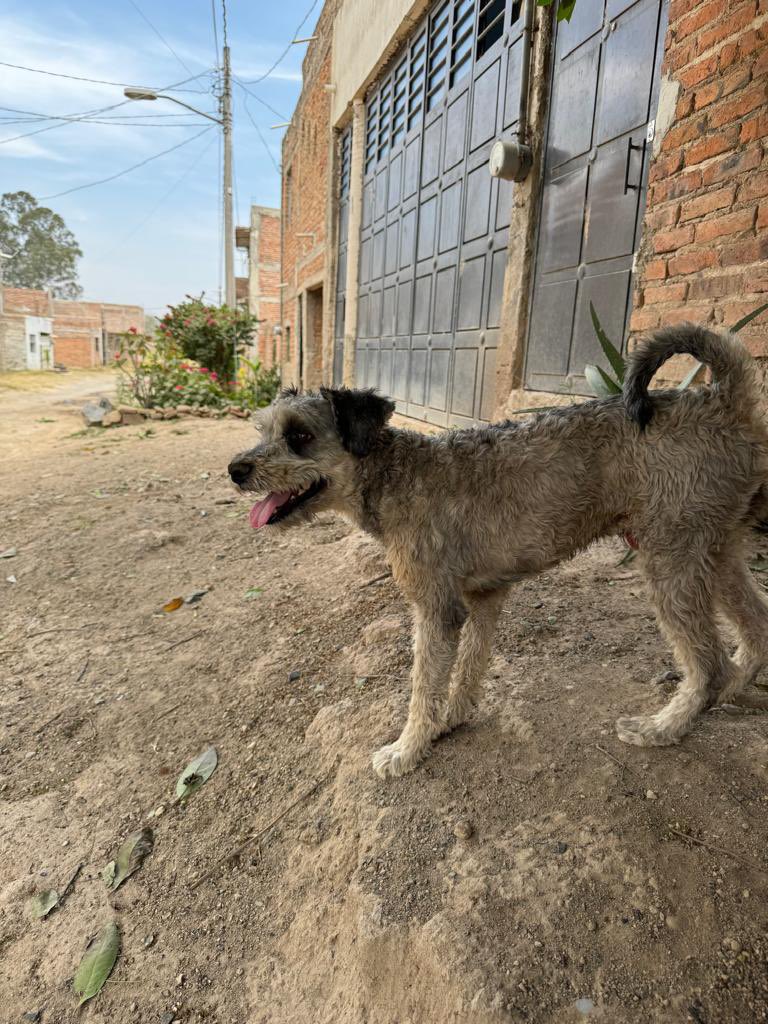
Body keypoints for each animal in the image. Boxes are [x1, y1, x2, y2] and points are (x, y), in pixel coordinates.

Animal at [228, 323, 768, 778]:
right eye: (262, 430)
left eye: (299, 436)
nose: (236, 469)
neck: (394, 474)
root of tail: (722, 400)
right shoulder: (484, 598)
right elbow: (467, 668)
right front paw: (451, 720)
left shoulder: (436, 609)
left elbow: (423, 685)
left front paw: (406, 750)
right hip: (716, 550)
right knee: (756, 627)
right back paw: (736, 689)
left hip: (670, 560)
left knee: (708, 663)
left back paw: (664, 727)